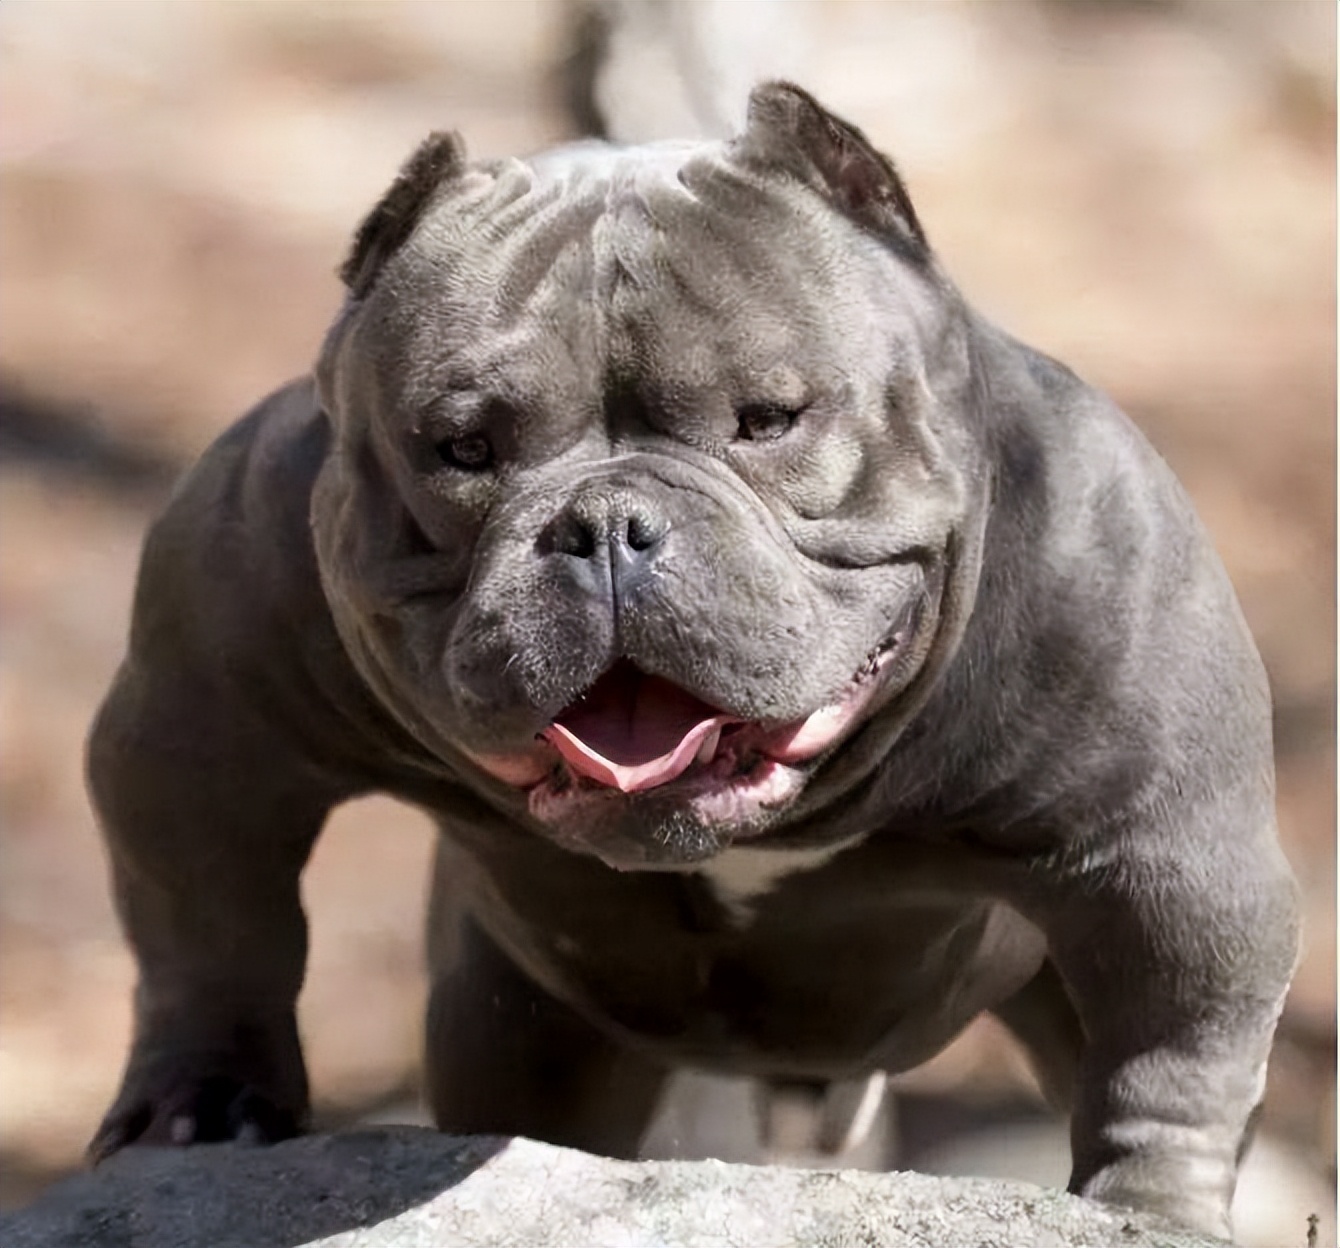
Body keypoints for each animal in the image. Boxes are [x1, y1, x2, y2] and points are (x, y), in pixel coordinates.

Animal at [86, 80, 1297, 1238]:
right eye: (462, 448)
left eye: (767, 420)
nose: (606, 527)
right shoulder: (202, 731)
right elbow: (211, 931)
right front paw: (204, 1107)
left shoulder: (1162, 852)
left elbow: (1167, 1060)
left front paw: (1147, 1208)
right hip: (515, 1028)